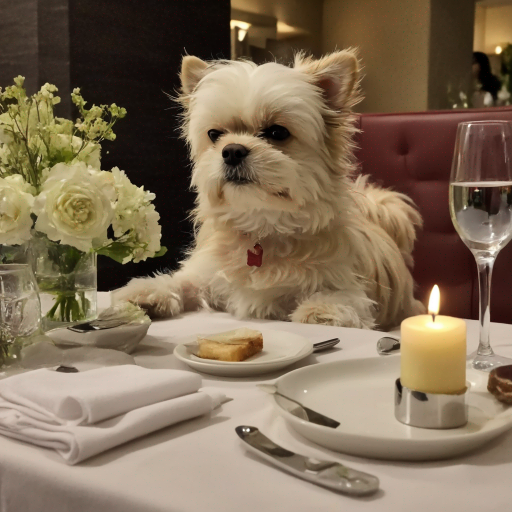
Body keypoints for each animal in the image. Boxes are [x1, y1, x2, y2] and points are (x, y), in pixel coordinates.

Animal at [115, 51, 424, 328]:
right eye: (215, 135)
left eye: (277, 132)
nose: (232, 150)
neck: (263, 226)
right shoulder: (206, 276)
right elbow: (182, 282)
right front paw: (146, 292)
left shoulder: (348, 287)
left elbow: (345, 300)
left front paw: (323, 309)